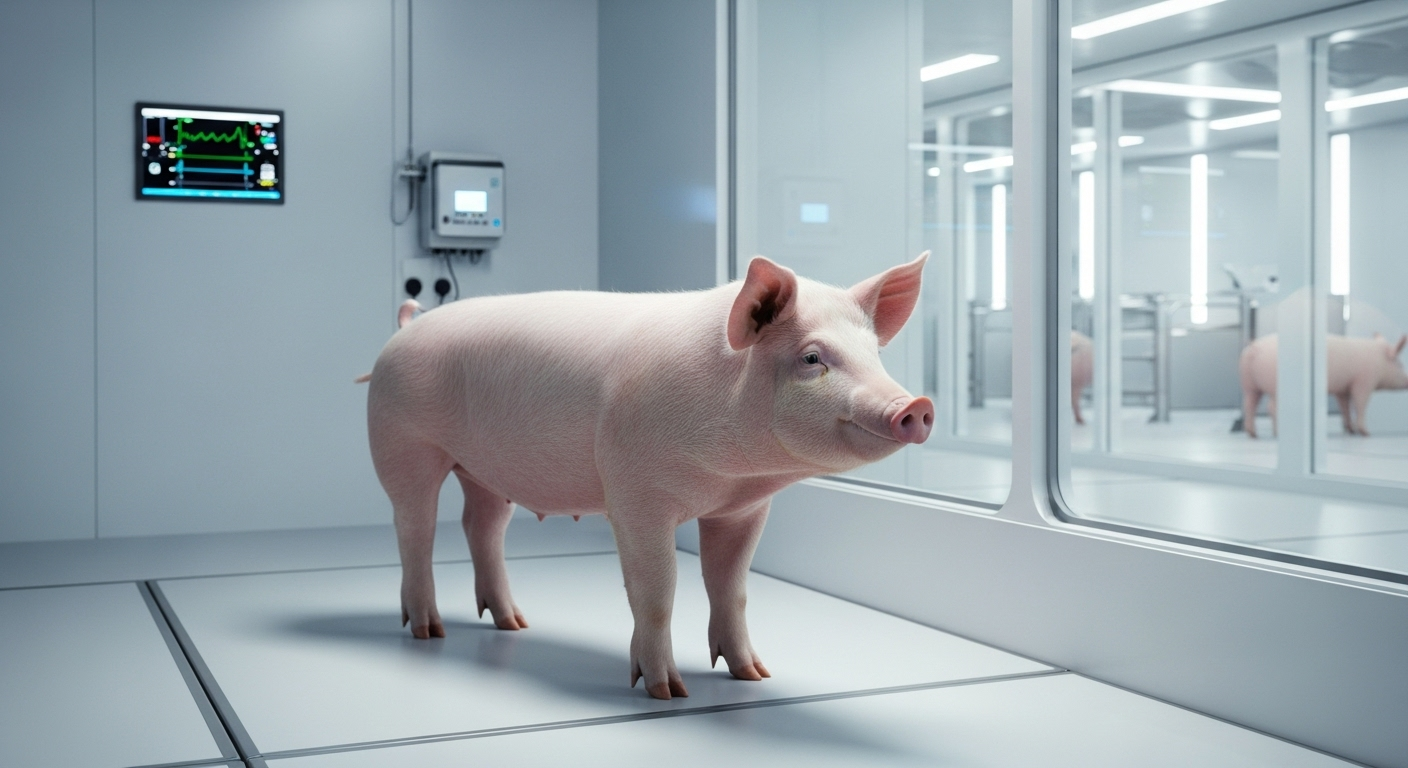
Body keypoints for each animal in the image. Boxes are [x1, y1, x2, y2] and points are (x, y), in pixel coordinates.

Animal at [360, 253, 933, 700]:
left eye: (875, 354)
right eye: (812, 357)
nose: (917, 406)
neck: (729, 475)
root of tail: (405, 328)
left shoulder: (743, 509)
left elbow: (732, 588)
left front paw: (755, 676)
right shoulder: (635, 494)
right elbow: (656, 590)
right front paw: (667, 692)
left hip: (485, 469)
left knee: (481, 526)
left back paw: (515, 623)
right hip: (402, 442)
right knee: (414, 527)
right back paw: (429, 632)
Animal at [1239, 332, 1408, 438]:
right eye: (1399, 364)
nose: (1407, 380)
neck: (1379, 360)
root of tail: (1255, 347)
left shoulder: (1342, 388)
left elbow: (1344, 407)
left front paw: (1350, 430)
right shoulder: (1364, 381)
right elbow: (1360, 404)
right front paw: (1366, 433)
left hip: (1250, 385)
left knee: (1249, 405)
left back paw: (1253, 434)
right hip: (1275, 386)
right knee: (1271, 407)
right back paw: (1278, 434)